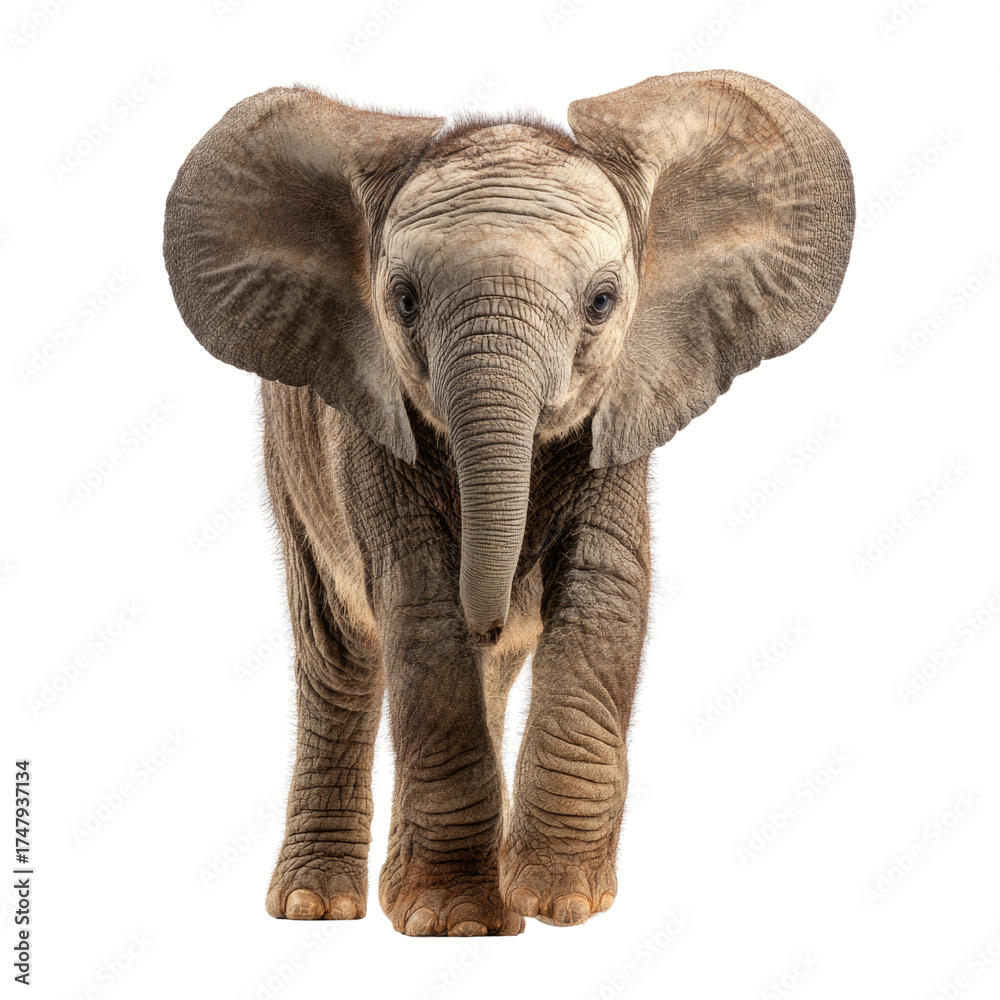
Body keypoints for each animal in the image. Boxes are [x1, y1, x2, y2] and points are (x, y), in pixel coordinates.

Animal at [163, 70, 854, 936]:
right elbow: (421, 606)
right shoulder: (368, 420)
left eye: (603, 302)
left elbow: (601, 594)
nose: (495, 607)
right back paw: (318, 905)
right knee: (339, 651)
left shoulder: (620, 408)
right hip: (289, 460)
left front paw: (559, 903)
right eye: (403, 299)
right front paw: (453, 920)